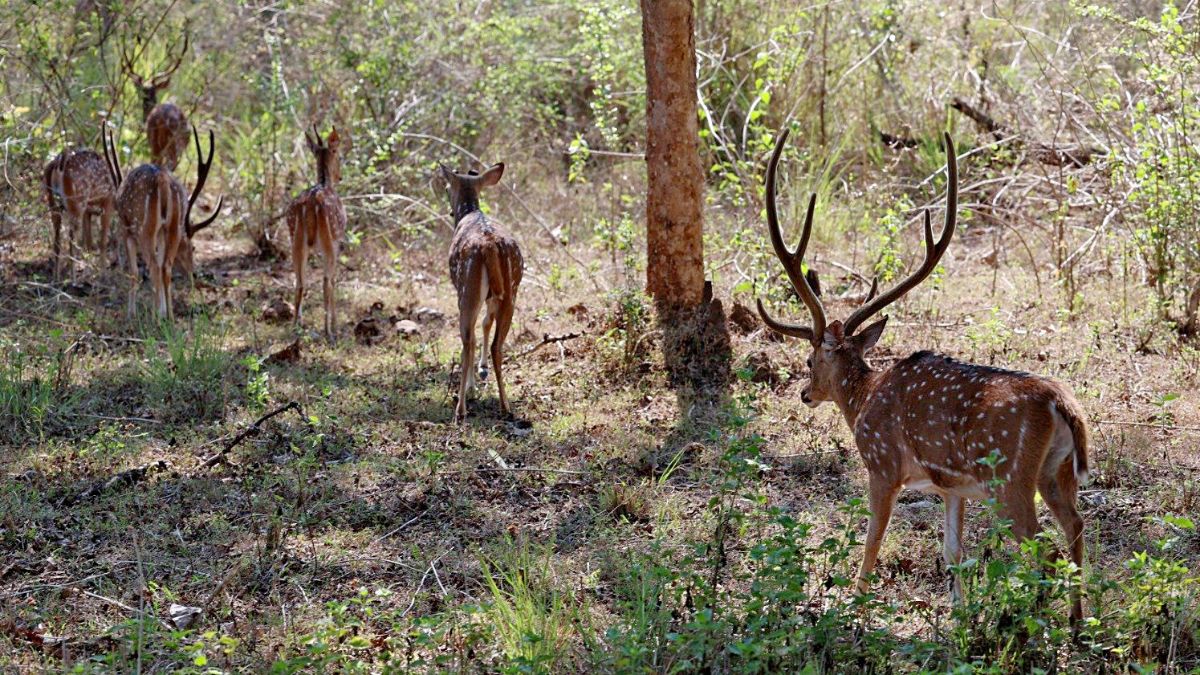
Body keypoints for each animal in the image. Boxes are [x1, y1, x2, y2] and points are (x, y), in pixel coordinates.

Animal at [43, 147, 115, 278]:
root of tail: (59, 163)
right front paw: (103, 273)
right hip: (77, 199)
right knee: (71, 236)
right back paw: (73, 278)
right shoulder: (108, 199)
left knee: (57, 231)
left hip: (52, 199)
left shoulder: (88, 207)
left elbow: (89, 240)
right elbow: (102, 240)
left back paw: (56, 277)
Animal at [286, 124, 345, 341]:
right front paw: (335, 324)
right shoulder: (338, 240)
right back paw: (329, 331)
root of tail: (311, 204)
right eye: (339, 155)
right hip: (328, 240)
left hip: (295, 239)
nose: (339, 176)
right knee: (326, 281)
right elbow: (333, 279)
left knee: (299, 281)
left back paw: (296, 326)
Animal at [436, 163, 520, 420]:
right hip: (511, 291)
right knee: (497, 345)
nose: (450, 211)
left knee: (467, 340)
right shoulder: (493, 296)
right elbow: (486, 323)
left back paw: (461, 407)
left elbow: (473, 335)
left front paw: (473, 385)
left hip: (468, 290)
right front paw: (482, 371)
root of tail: (490, 245)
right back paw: (505, 405)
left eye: (446, 187)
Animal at [758, 128, 1089, 619]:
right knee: (1077, 527)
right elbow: (952, 553)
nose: (805, 393)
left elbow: (872, 542)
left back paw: (1035, 622)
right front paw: (959, 618)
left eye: (808, 360)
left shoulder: (882, 464)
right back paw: (1079, 621)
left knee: (1044, 548)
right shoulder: (951, 486)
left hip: (1008, 478)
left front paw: (854, 609)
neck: (862, 399)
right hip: (1056, 471)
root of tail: (1060, 403)